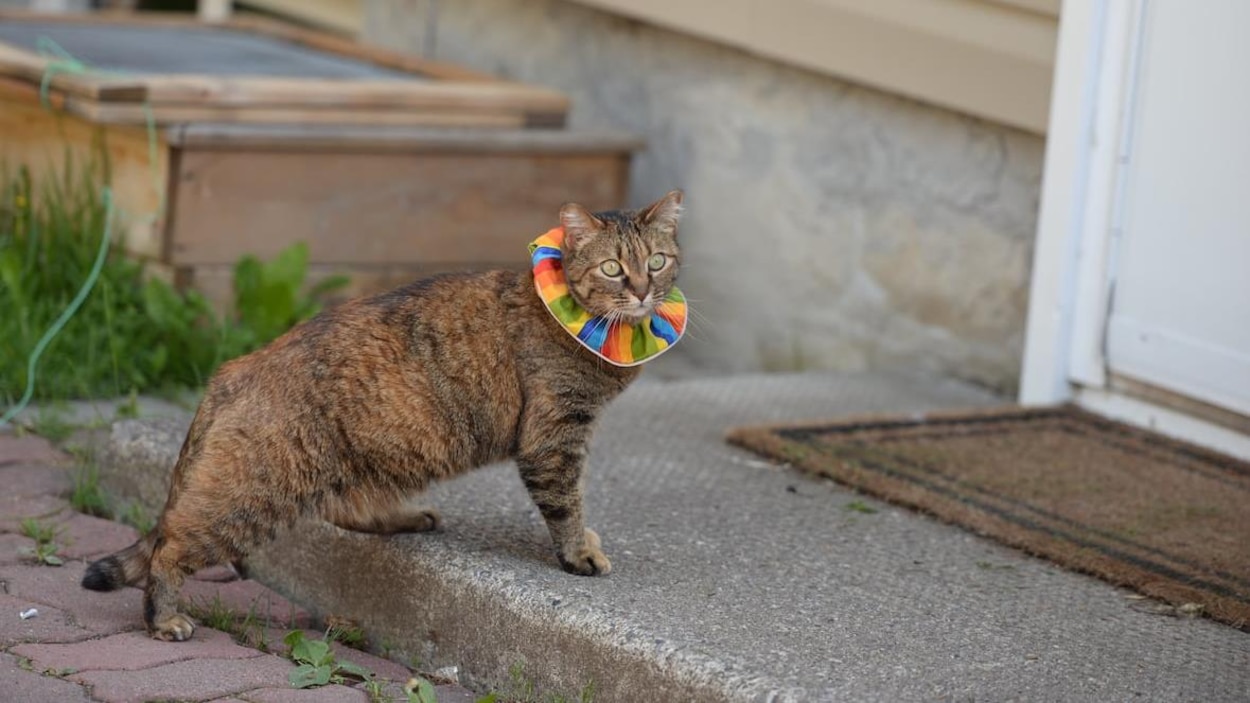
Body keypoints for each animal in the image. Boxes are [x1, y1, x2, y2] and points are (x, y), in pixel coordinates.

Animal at [83, 188, 690, 637]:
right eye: (612, 268)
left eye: (657, 262)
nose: (642, 292)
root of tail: (231, 371)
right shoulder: (554, 437)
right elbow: (566, 505)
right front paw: (578, 553)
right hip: (252, 498)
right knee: (170, 546)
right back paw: (164, 618)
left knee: (341, 510)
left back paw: (406, 517)